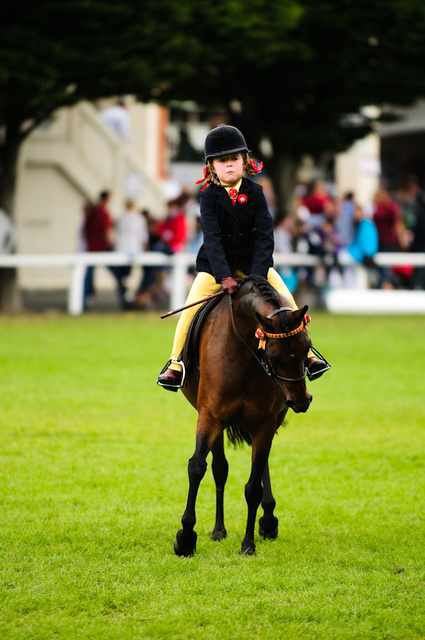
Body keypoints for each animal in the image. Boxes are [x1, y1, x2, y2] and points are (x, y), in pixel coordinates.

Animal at [175, 272, 312, 556]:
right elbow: (197, 467)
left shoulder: (265, 422)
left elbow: (253, 487)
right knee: (219, 469)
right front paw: (185, 537)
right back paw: (219, 530)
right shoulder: (209, 416)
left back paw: (268, 521)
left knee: (260, 467)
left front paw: (248, 544)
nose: (301, 401)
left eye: (307, 347)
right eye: (273, 354)